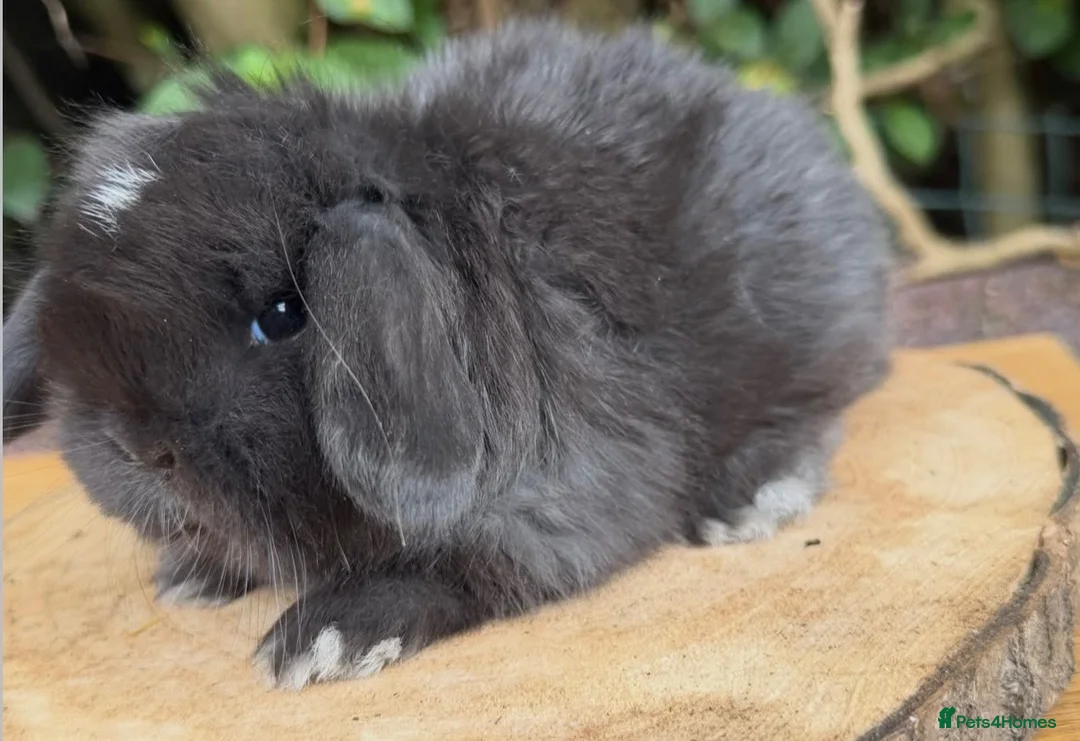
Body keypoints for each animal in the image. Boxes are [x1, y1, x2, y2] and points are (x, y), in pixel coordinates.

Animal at [2, 18, 892, 690]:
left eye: (282, 313)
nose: (132, 448)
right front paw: (196, 573)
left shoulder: (572, 499)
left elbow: (458, 565)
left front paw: (323, 639)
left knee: (818, 414)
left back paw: (750, 500)